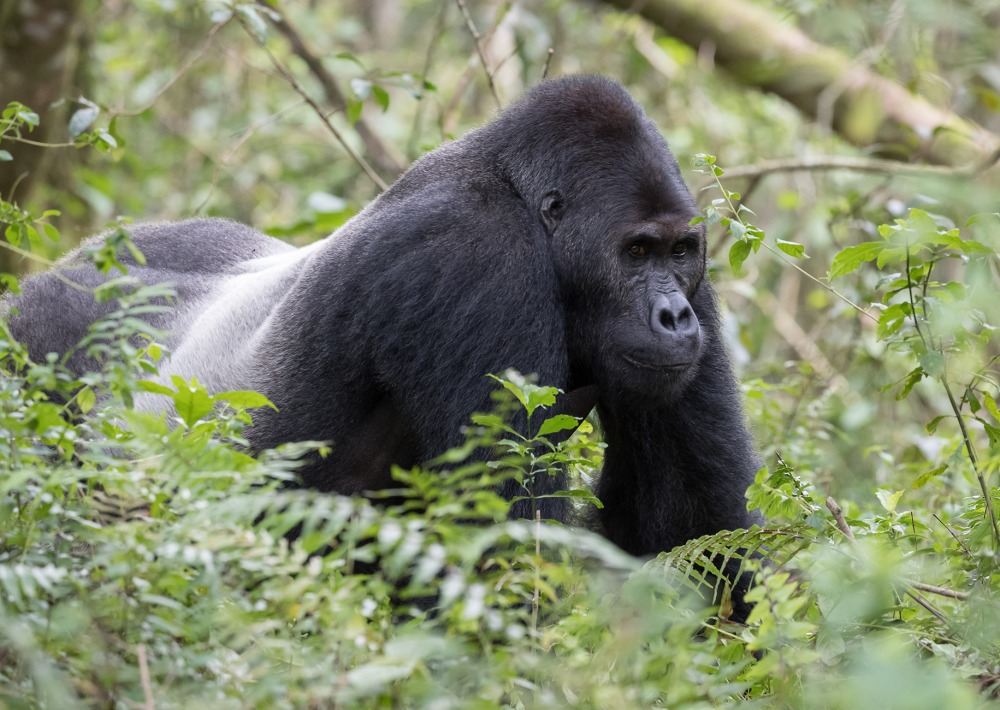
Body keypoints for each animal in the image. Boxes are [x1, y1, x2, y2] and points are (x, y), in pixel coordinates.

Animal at [3, 75, 760, 612]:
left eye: (678, 252)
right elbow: (503, 553)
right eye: (634, 252)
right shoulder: (479, 259)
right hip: (39, 354)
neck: (514, 189)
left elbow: (692, 530)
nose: (673, 316)